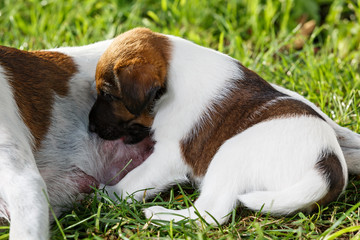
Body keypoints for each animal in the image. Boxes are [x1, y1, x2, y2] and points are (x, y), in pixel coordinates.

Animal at [90, 28, 360, 225]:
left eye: (108, 95)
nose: (90, 127)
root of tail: (328, 163)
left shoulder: (169, 155)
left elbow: (133, 180)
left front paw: (105, 194)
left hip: (230, 153)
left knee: (210, 213)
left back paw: (159, 214)